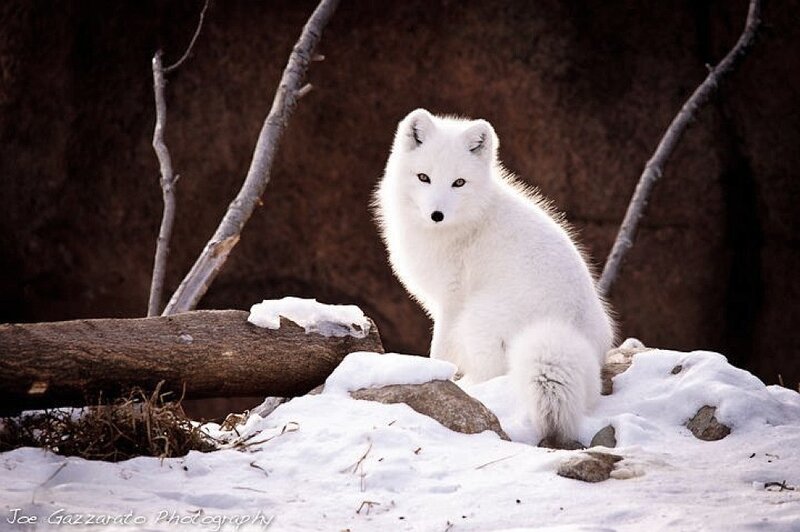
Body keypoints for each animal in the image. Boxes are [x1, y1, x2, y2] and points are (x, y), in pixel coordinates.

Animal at [373, 109, 615, 447]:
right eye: (423, 177)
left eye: (459, 183)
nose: (437, 215)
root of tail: (568, 332)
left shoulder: (451, 301)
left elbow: (439, 350)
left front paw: (432, 373)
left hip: (475, 319)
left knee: (493, 373)